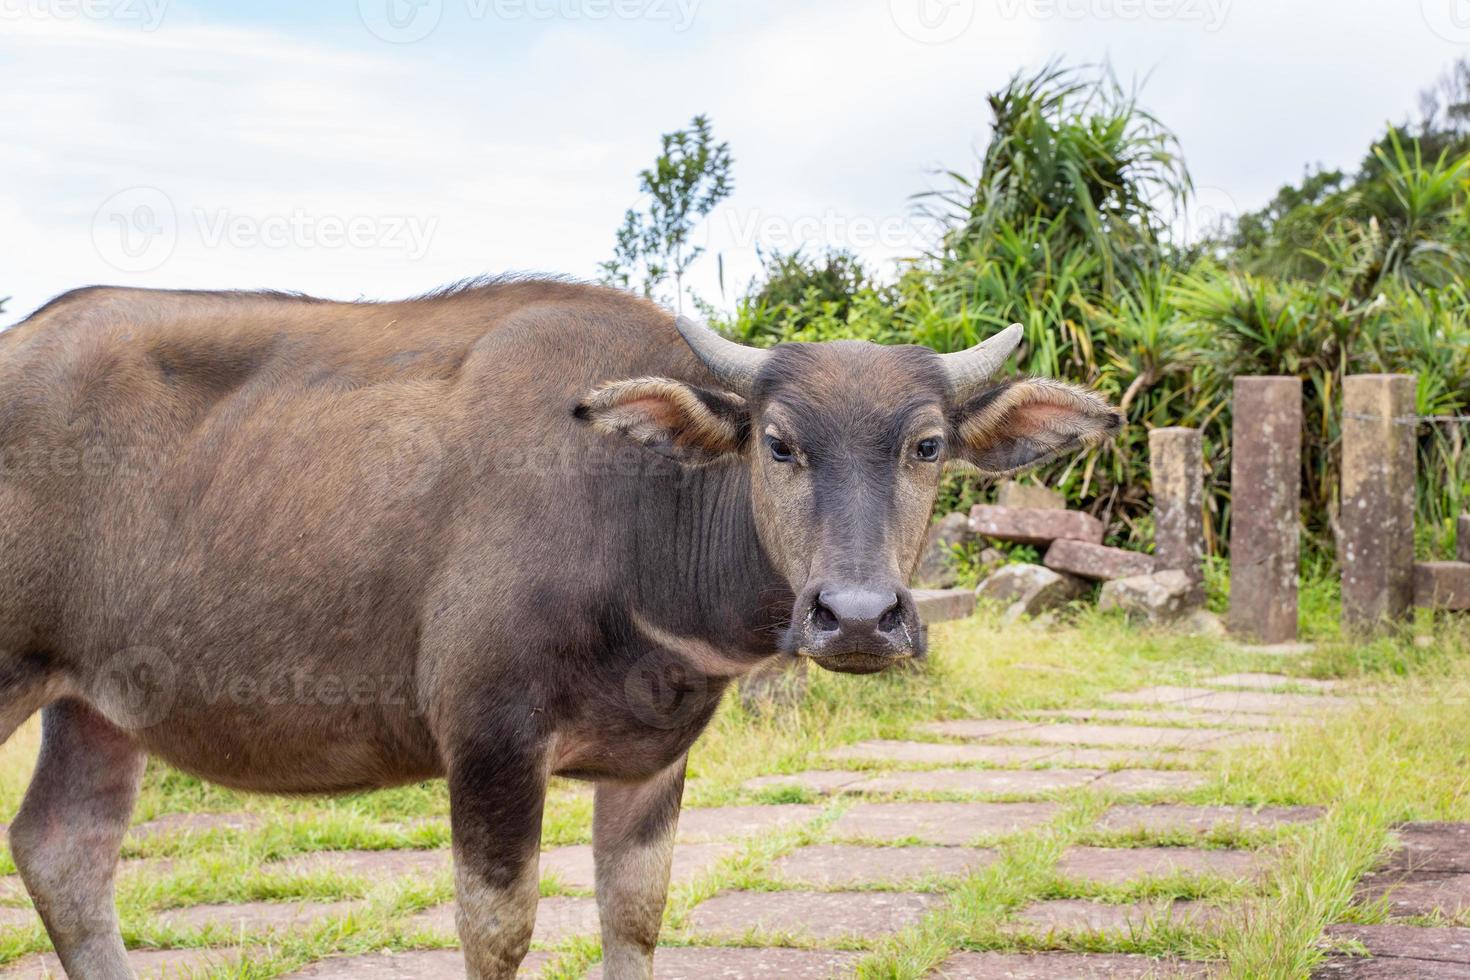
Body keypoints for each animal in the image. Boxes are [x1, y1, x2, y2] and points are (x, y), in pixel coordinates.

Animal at [0, 279, 1111, 975]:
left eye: (925, 444)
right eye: (779, 441)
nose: (858, 616)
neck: (633, 514)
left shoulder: (652, 764)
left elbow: (636, 918)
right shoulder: (489, 738)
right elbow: (498, 930)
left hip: (92, 703)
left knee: (63, 852)